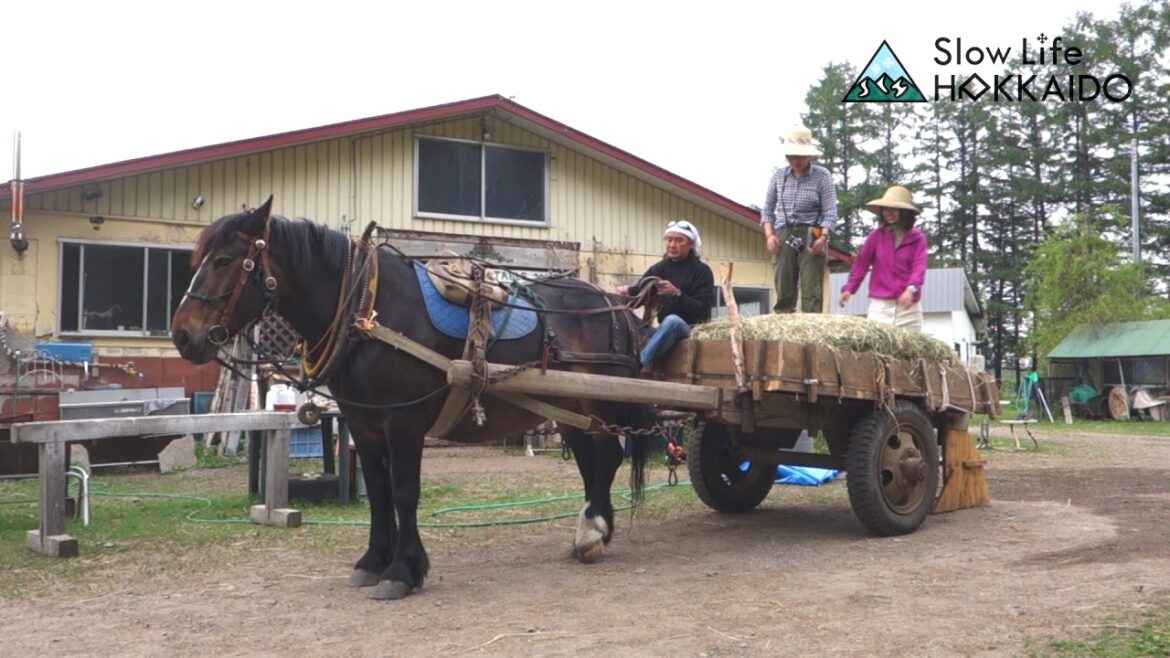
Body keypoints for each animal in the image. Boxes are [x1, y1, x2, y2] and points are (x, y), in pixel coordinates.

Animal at [170, 197, 650, 600]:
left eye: (225, 260)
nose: (182, 334)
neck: (365, 309)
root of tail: (615, 305)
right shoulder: (363, 421)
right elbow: (380, 490)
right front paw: (372, 561)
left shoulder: (402, 419)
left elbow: (403, 490)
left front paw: (402, 570)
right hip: (570, 408)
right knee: (591, 463)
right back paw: (592, 532)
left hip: (600, 405)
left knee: (608, 458)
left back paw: (593, 532)